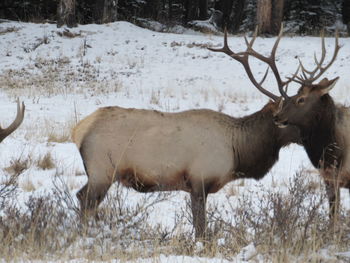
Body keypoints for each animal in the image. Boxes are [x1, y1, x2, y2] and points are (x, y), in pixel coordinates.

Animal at [72, 28, 300, 239]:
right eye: (285, 118)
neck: (237, 153)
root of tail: (79, 130)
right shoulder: (199, 180)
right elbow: (200, 227)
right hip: (102, 170)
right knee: (85, 199)